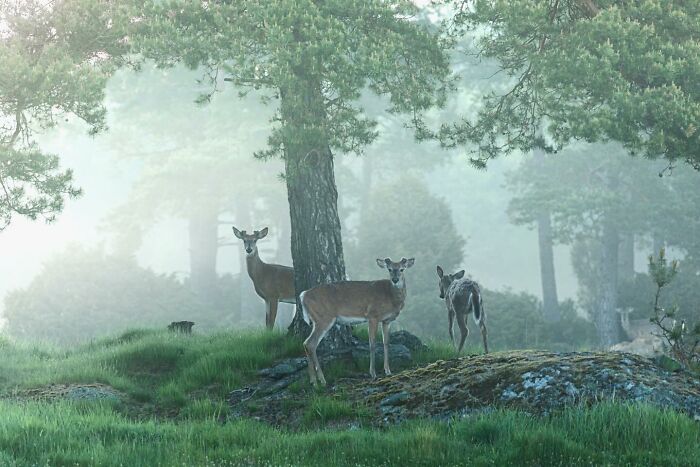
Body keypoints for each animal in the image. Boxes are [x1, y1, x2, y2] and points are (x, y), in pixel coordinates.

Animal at [300, 258, 416, 386]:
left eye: (402, 269)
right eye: (389, 269)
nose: (395, 280)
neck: (391, 297)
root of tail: (303, 295)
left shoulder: (386, 320)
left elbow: (386, 343)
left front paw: (388, 371)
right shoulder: (372, 316)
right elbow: (372, 344)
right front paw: (373, 373)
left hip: (319, 319)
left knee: (306, 343)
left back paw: (313, 381)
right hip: (323, 317)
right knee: (310, 343)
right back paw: (322, 380)